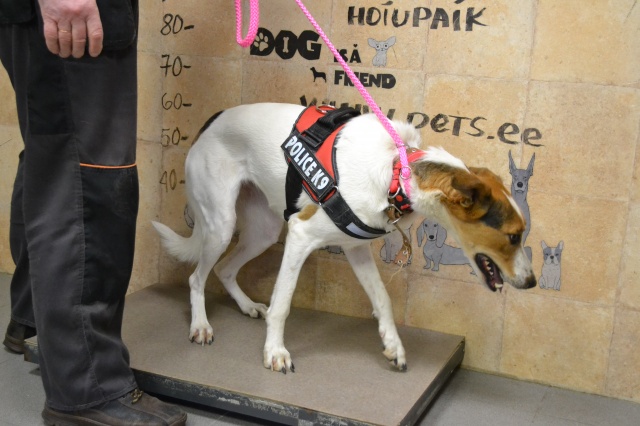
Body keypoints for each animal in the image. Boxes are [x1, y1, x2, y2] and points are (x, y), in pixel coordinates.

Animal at [153, 103, 536, 374]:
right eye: (513, 236)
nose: (532, 281)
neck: (396, 170)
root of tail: (209, 122)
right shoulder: (300, 234)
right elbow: (282, 304)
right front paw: (275, 352)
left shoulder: (356, 248)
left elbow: (383, 300)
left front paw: (393, 345)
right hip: (221, 224)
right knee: (196, 277)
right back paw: (201, 325)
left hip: (262, 231)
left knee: (225, 270)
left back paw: (246, 306)